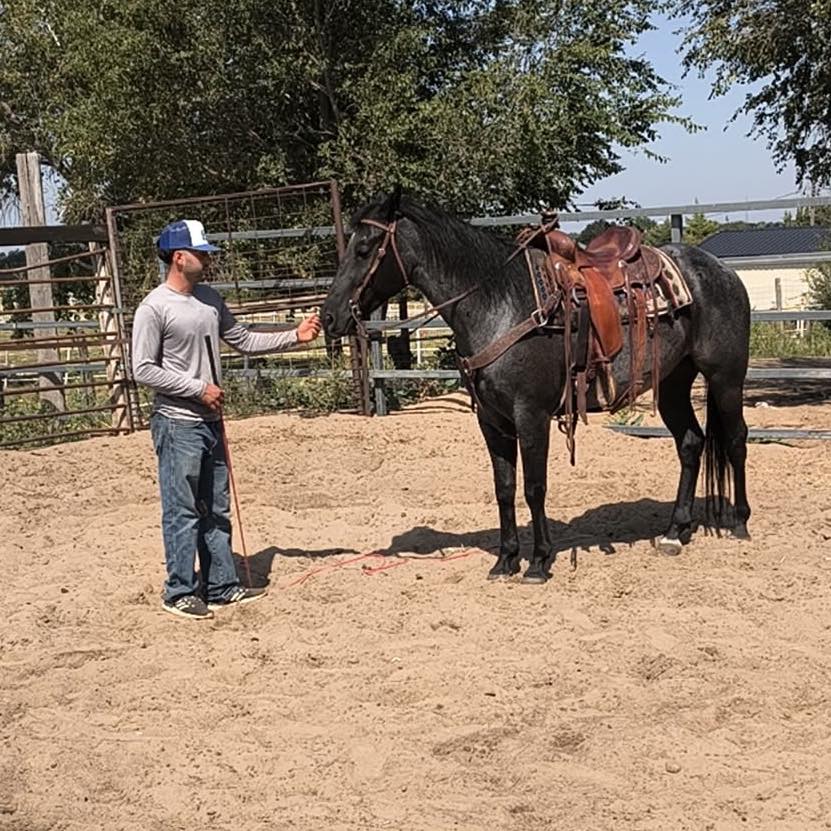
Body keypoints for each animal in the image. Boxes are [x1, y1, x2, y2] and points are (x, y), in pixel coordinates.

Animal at [322, 191, 751, 583]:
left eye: (364, 248)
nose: (328, 316)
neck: (499, 305)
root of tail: (722, 271)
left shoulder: (531, 414)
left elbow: (534, 487)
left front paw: (539, 561)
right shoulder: (491, 420)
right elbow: (504, 488)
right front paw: (505, 560)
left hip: (726, 378)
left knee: (735, 439)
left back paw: (740, 523)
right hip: (674, 382)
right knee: (691, 443)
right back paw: (675, 531)